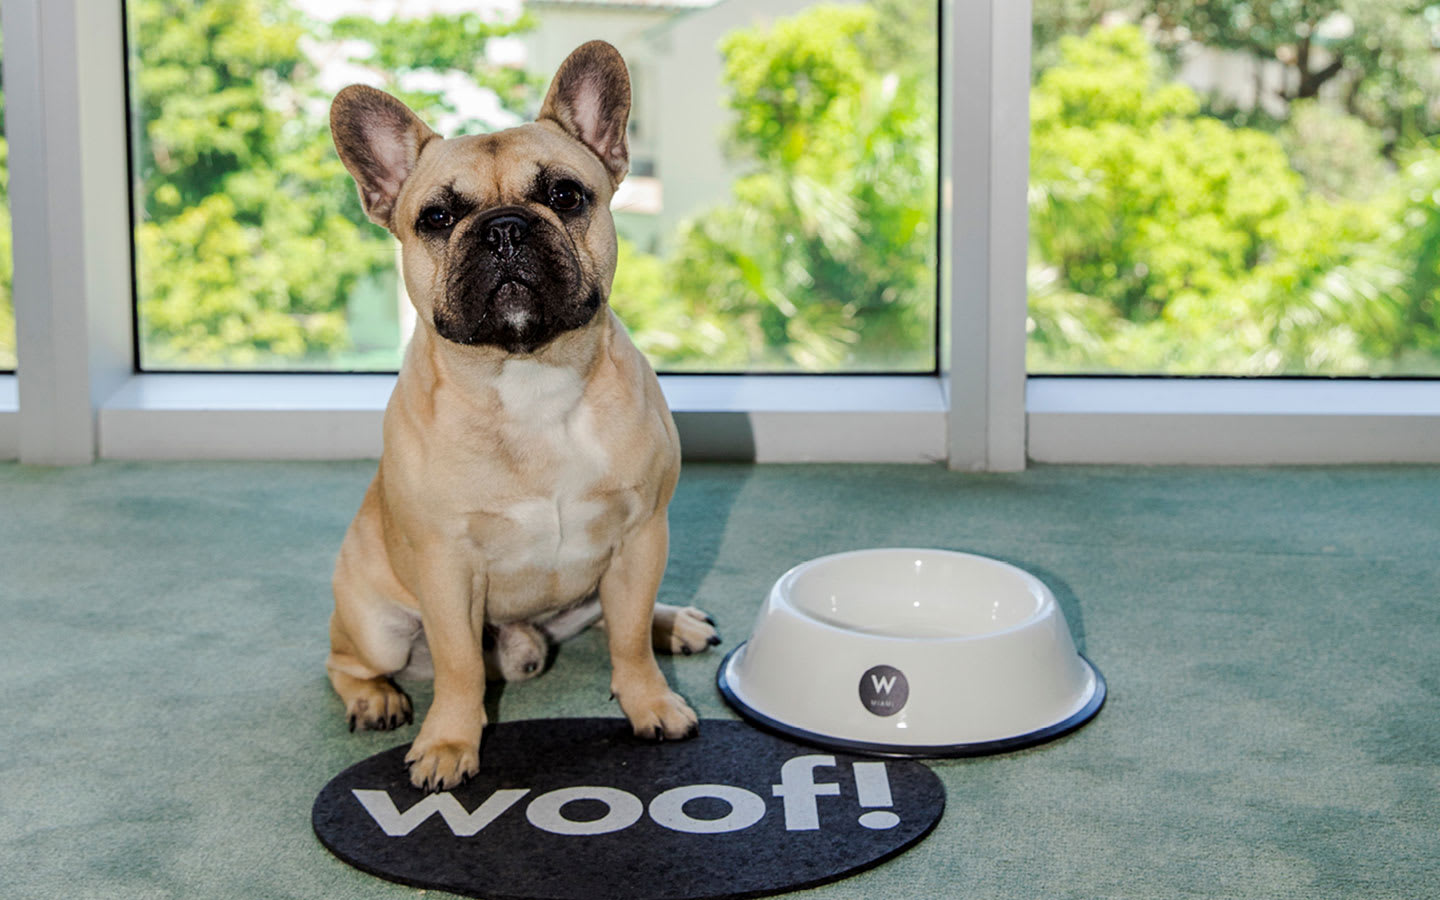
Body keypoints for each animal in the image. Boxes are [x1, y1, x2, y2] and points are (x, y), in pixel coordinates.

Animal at [328, 42, 720, 783]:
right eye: (436, 218)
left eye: (565, 196)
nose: (505, 228)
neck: (530, 374)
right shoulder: (446, 566)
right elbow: (457, 664)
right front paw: (449, 743)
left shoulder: (641, 537)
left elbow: (629, 638)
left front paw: (651, 703)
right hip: (377, 627)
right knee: (347, 660)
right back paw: (374, 699)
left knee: (613, 619)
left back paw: (673, 622)